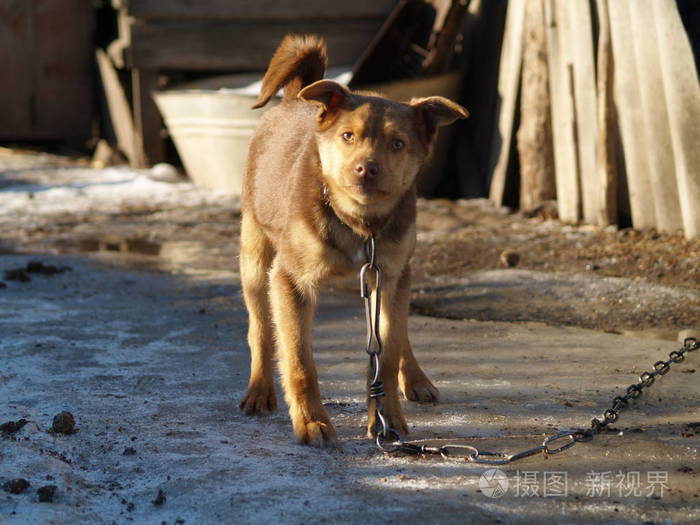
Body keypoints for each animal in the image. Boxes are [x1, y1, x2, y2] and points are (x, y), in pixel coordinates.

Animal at [238, 34, 468, 444]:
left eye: (397, 144)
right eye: (348, 136)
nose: (365, 169)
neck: (360, 224)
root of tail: (294, 98)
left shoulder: (389, 274)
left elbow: (387, 354)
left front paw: (388, 419)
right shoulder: (290, 282)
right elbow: (299, 359)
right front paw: (312, 422)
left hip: (390, 278)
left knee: (399, 332)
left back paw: (416, 379)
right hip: (254, 256)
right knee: (260, 329)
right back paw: (258, 390)